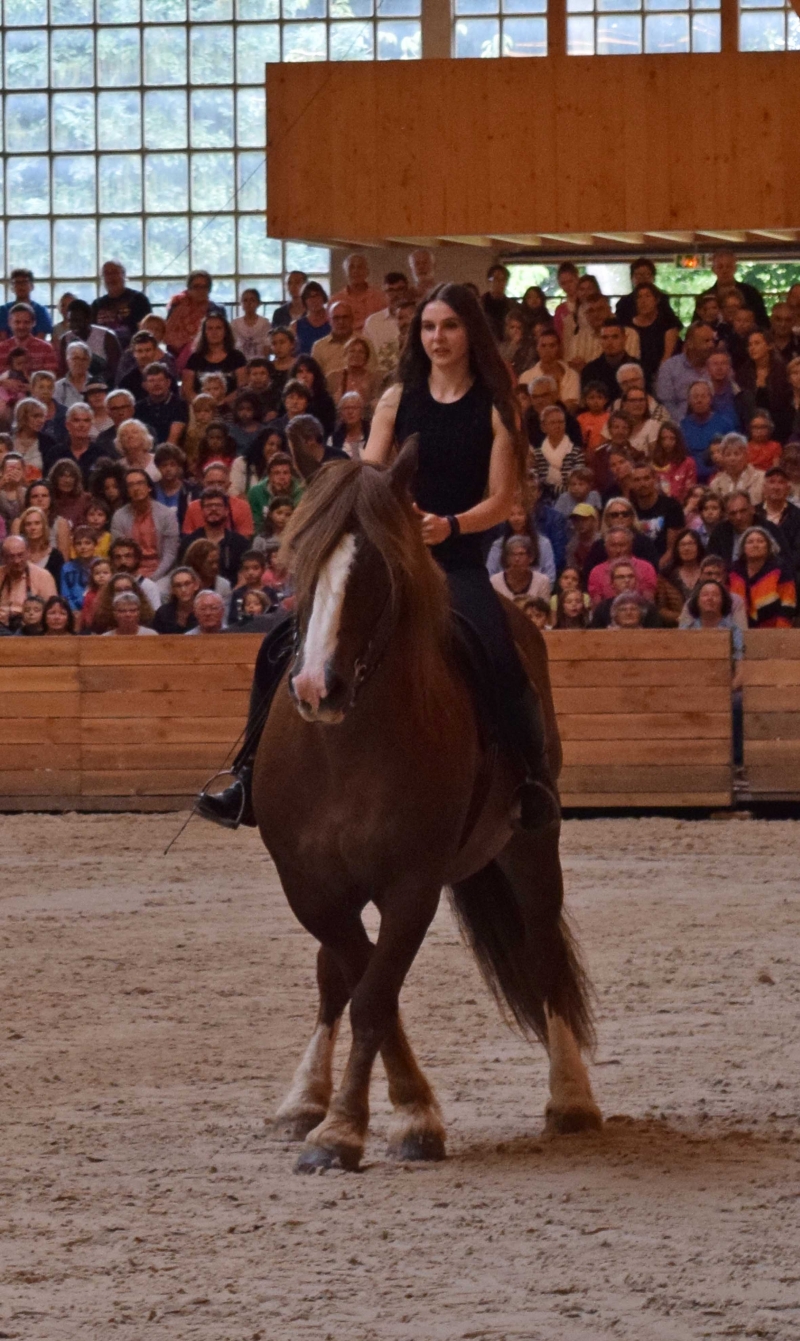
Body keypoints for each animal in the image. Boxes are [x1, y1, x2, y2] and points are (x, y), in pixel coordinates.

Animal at [253, 442, 594, 1174]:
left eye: (376, 570)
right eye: (302, 562)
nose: (315, 687)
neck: (345, 745)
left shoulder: (413, 885)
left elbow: (375, 995)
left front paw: (362, 1127)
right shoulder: (311, 886)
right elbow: (357, 981)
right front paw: (362, 1113)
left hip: (530, 847)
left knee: (544, 947)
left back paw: (573, 1097)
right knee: (332, 975)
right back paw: (302, 1099)